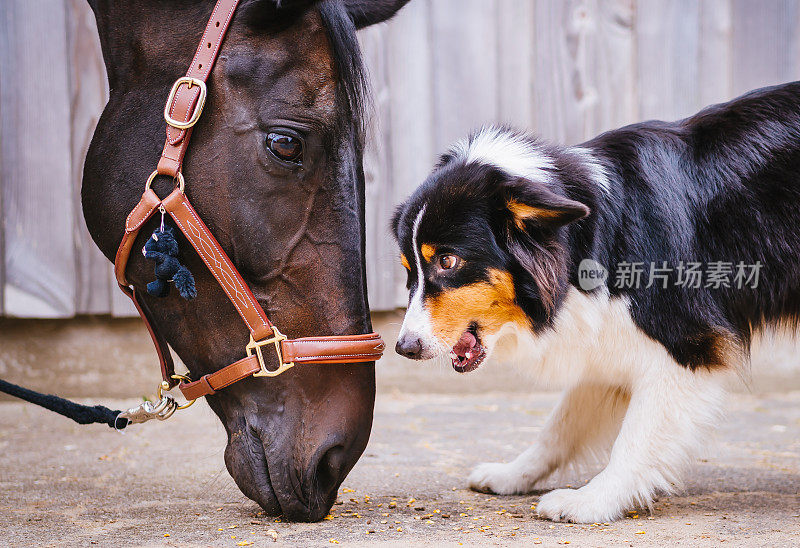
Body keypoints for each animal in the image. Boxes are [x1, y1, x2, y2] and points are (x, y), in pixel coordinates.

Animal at [390, 82, 800, 524]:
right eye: (409, 268)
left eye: (447, 261)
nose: (404, 348)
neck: (587, 238)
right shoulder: (606, 336)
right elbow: (560, 424)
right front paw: (513, 474)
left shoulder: (686, 345)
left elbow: (634, 438)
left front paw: (592, 501)